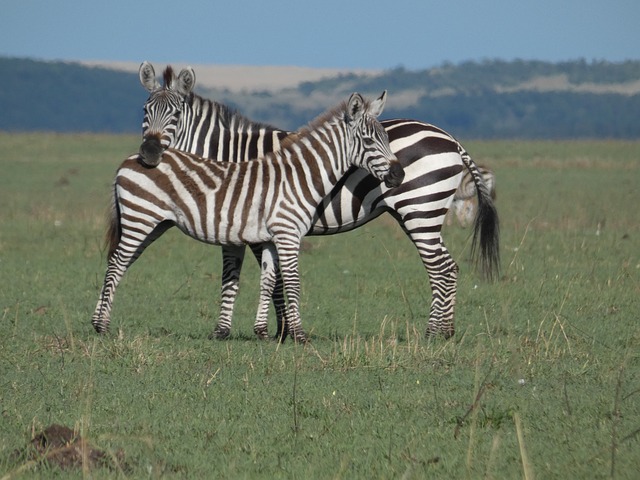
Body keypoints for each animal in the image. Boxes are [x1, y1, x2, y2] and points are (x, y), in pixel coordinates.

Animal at [90, 92, 402, 344]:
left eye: (387, 138)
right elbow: (293, 282)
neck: (299, 177)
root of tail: (130, 159)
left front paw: (264, 332)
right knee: (116, 264)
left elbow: (268, 281)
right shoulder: (288, 234)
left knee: (118, 262)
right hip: (140, 219)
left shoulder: (271, 239)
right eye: (368, 140)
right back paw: (102, 327)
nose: (399, 174)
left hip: (152, 224)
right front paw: (299, 336)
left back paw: (98, 322)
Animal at [138, 62, 500, 340]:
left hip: (420, 209)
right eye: (144, 111)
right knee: (448, 267)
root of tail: (449, 138)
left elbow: (250, 276)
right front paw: (280, 331)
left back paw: (432, 333)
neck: (229, 156)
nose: (149, 153)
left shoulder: (245, 223)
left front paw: (249, 331)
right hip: (421, 213)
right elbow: (267, 277)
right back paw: (446, 331)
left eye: (175, 114)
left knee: (441, 268)